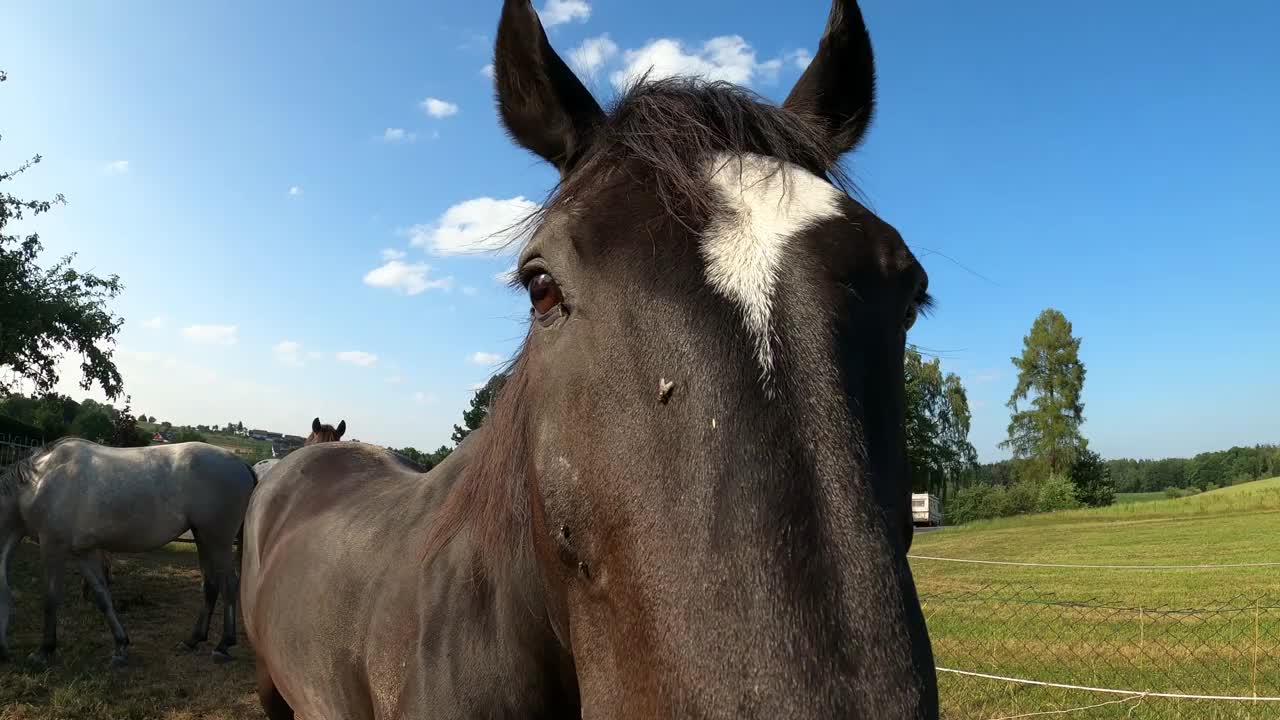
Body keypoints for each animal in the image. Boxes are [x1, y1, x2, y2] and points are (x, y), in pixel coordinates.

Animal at [0, 438, 257, 666]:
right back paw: (192, 641)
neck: (38, 482)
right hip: (203, 538)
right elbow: (102, 596)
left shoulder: (52, 546)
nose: (4, 658)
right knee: (211, 584)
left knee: (229, 584)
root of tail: (242, 464)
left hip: (218, 540)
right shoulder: (83, 552)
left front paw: (44, 651)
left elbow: (51, 599)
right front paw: (121, 647)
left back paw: (223, 646)